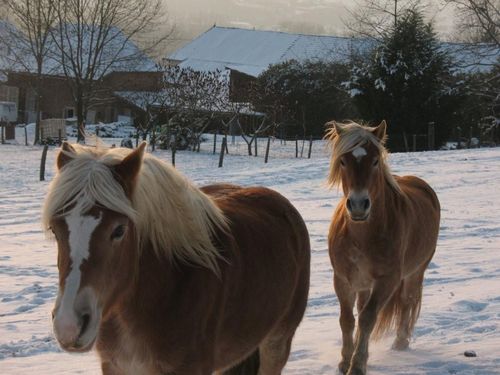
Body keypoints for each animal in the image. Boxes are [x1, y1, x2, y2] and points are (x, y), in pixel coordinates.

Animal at [326, 122, 440, 374]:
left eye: (376, 161)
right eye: (343, 161)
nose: (359, 205)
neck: (361, 235)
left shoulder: (387, 280)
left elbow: (368, 318)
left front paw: (358, 364)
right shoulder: (343, 279)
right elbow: (347, 319)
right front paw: (344, 360)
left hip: (415, 272)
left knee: (407, 301)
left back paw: (400, 342)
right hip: (363, 282)